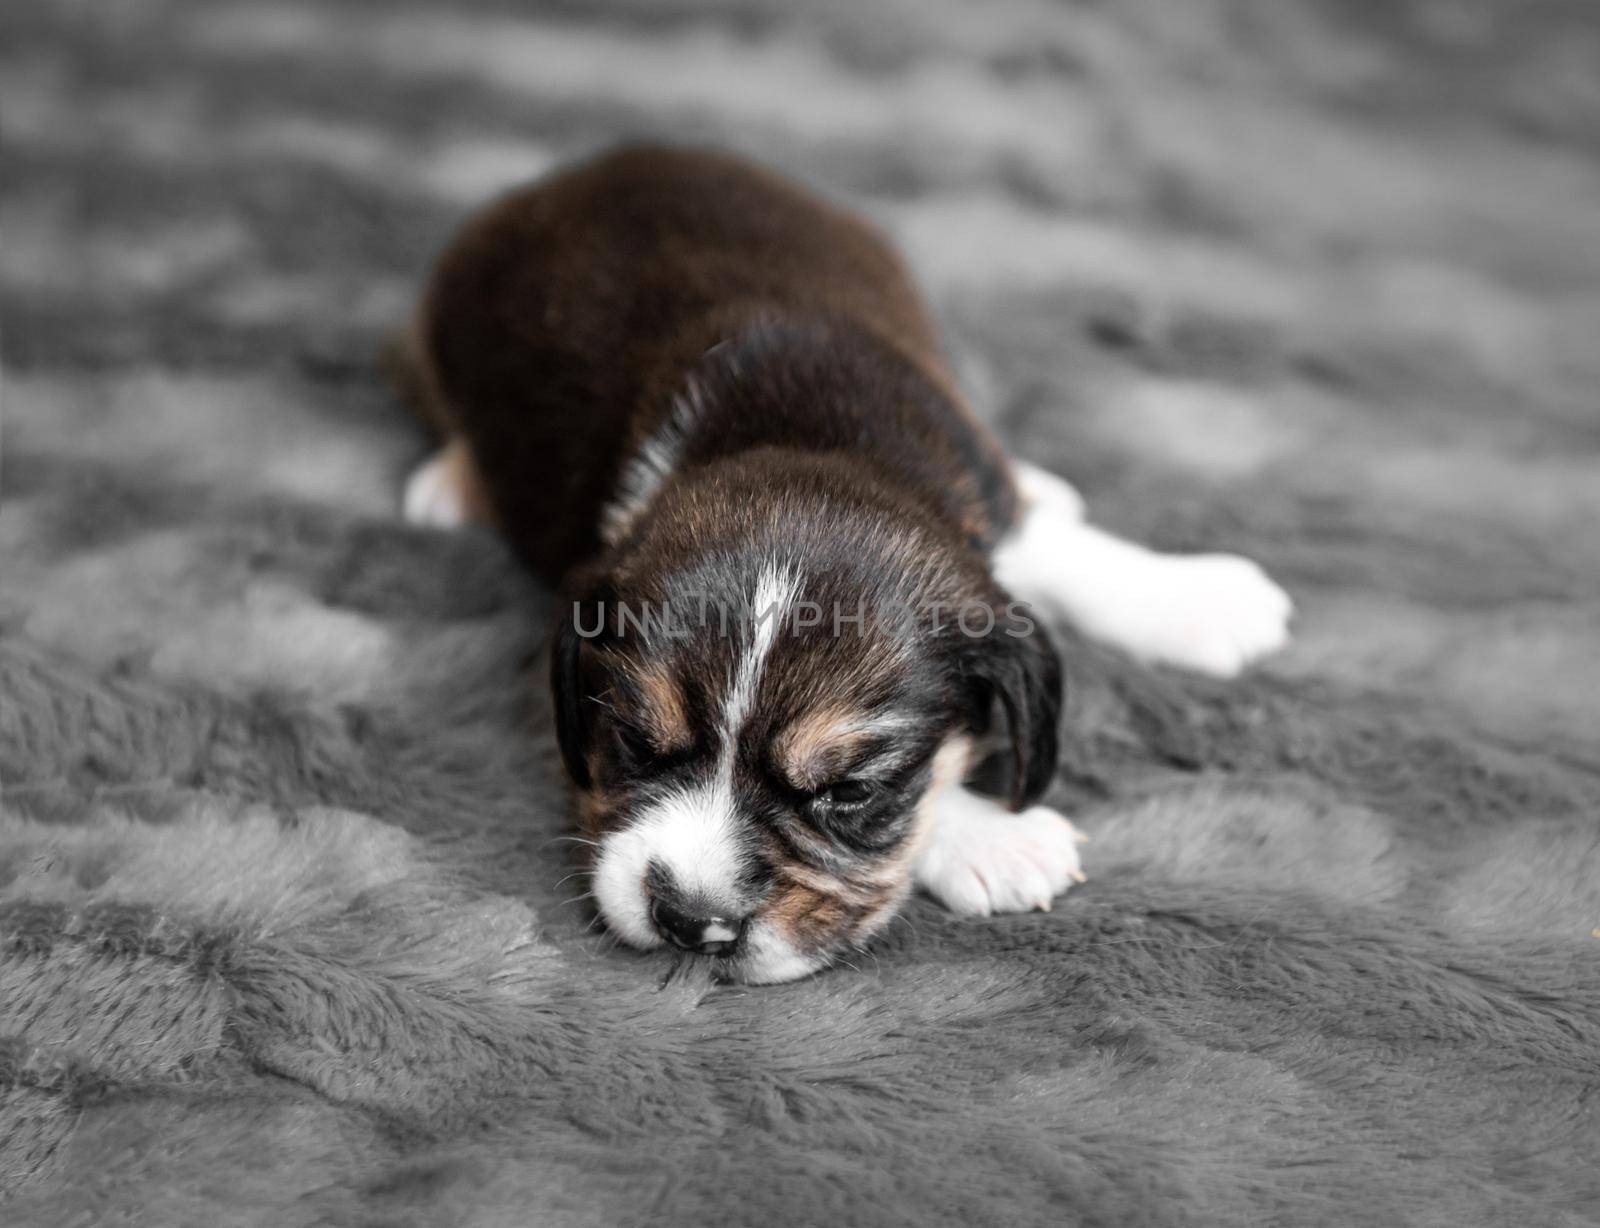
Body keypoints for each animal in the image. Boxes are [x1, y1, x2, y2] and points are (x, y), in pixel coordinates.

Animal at [393, 143, 1292, 984]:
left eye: (849, 792)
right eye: (634, 743)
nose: (688, 921)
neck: (803, 436)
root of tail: (588, 167)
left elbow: (1058, 553)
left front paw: (1201, 601)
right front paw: (993, 841)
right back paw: (448, 482)